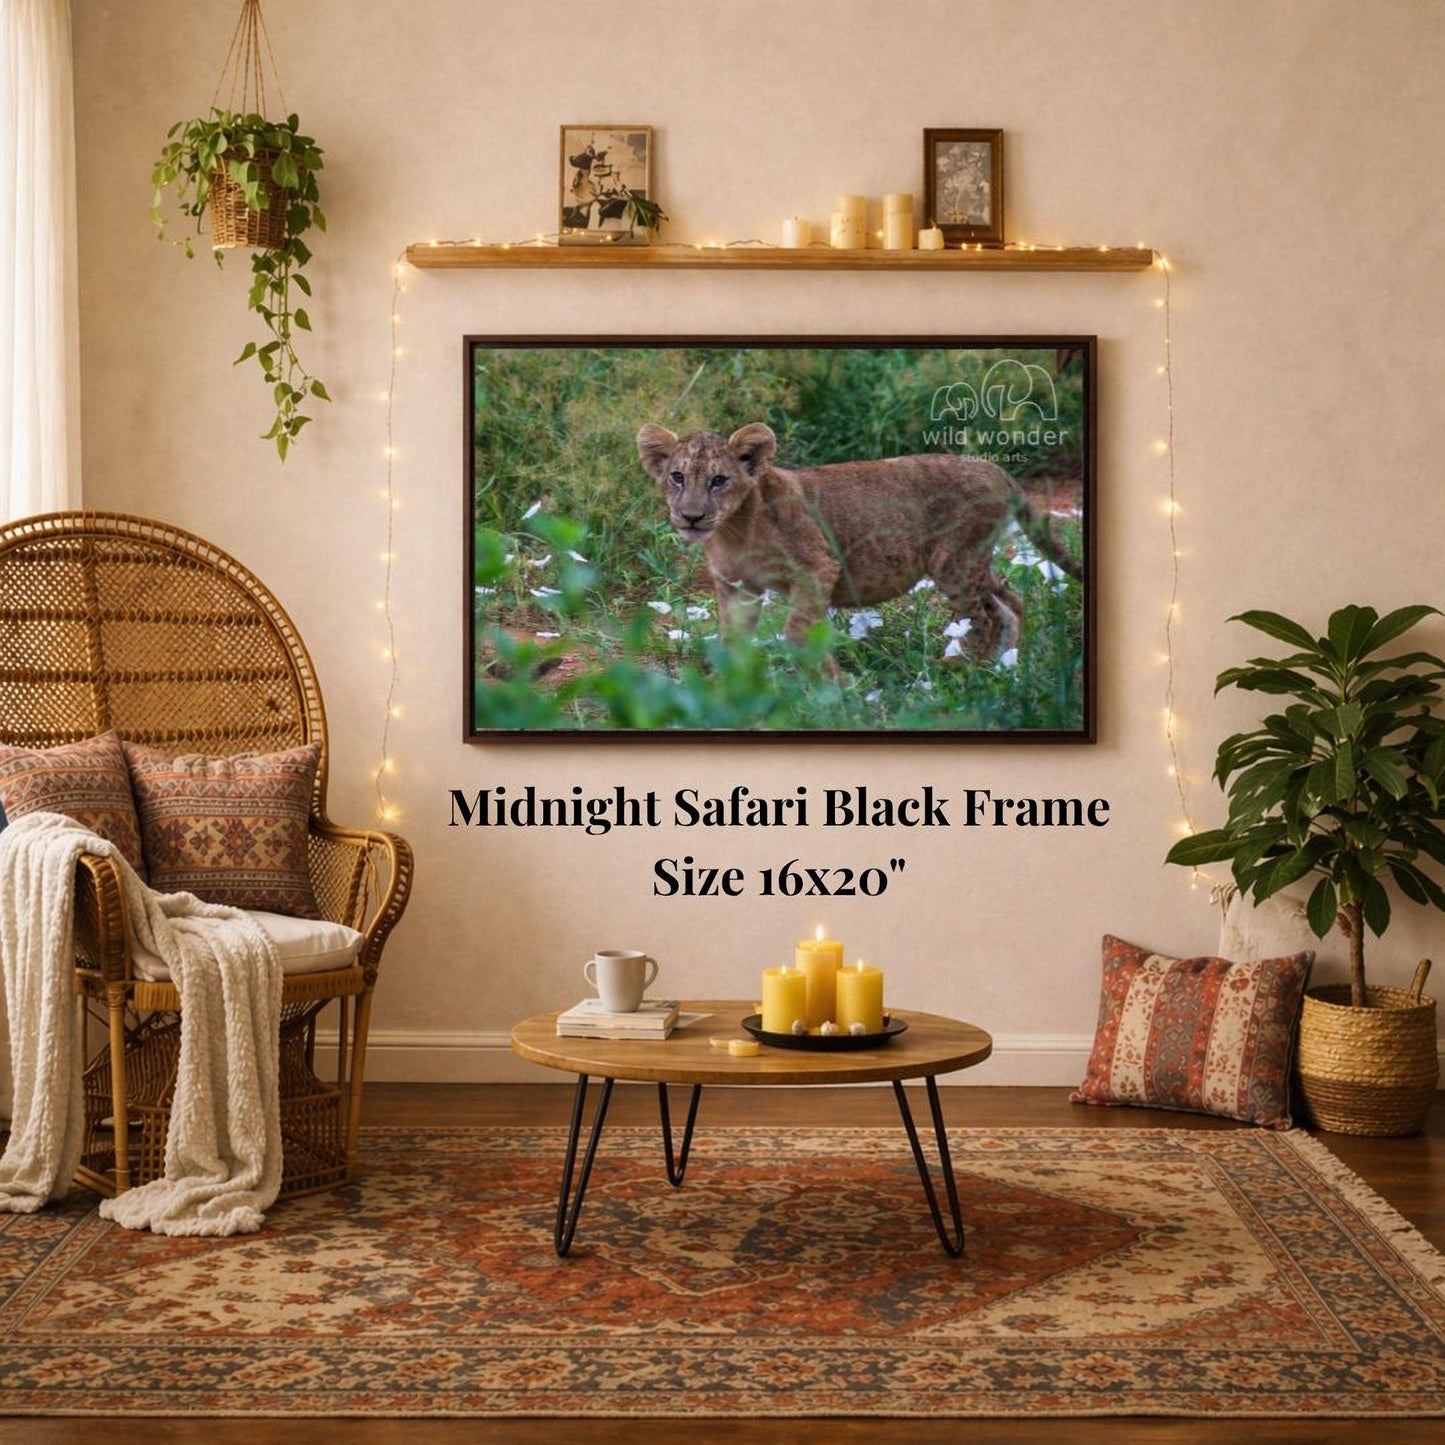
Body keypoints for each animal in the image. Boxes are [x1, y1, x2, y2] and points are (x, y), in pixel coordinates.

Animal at [636, 421, 1080, 674]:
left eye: (719, 480)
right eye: (677, 477)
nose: (691, 517)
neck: (733, 531)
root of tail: (994, 468)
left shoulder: (816, 567)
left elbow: (799, 632)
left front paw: (835, 688)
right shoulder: (736, 587)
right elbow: (732, 640)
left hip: (954, 560)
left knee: (983, 617)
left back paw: (957, 671)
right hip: (971, 560)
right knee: (1009, 600)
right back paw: (1004, 667)